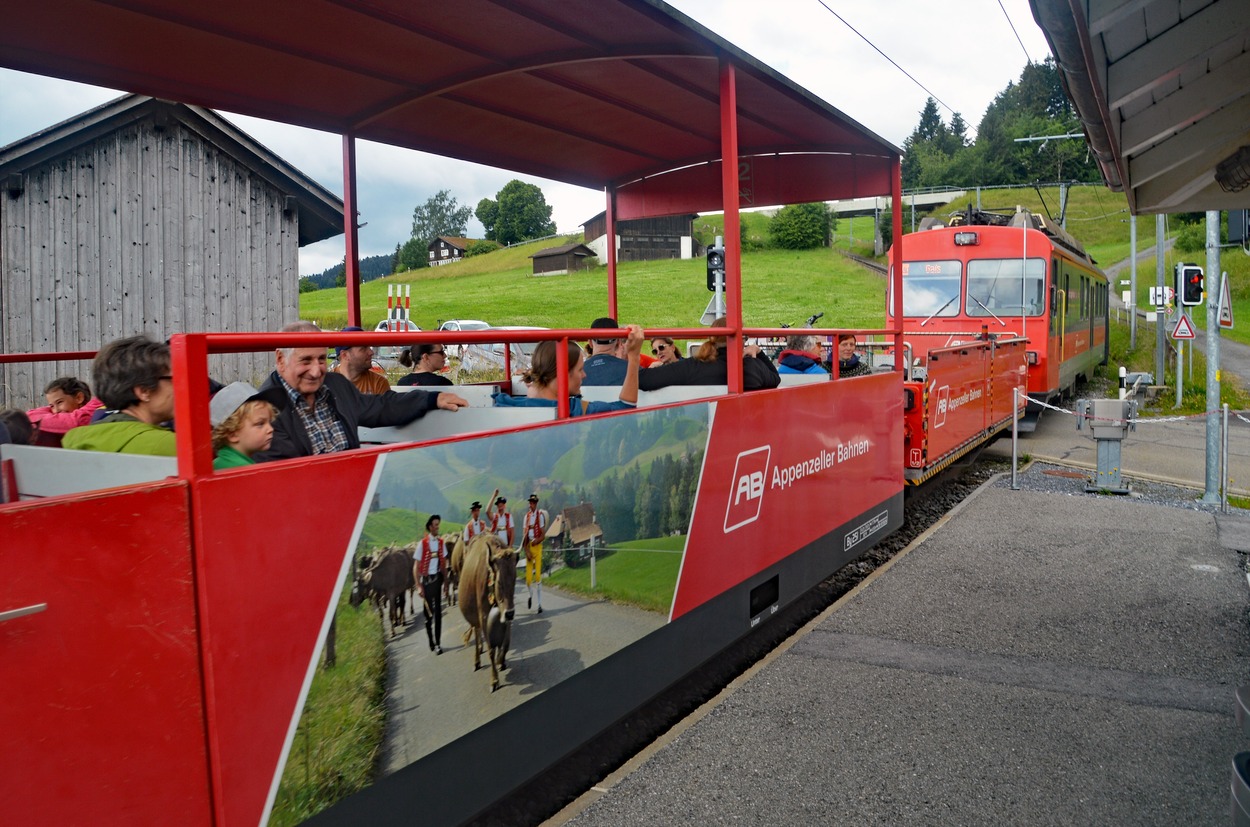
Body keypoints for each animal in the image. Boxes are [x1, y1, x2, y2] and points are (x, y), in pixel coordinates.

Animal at [457, 534, 515, 689]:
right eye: (499, 582)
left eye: (514, 578)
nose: (509, 613)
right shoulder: (483, 617)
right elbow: (490, 650)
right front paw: (494, 680)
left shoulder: (507, 614)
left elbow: (506, 643)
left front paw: (501, 660)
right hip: (476, 619)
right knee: (477, 636)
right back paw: (477, 661)